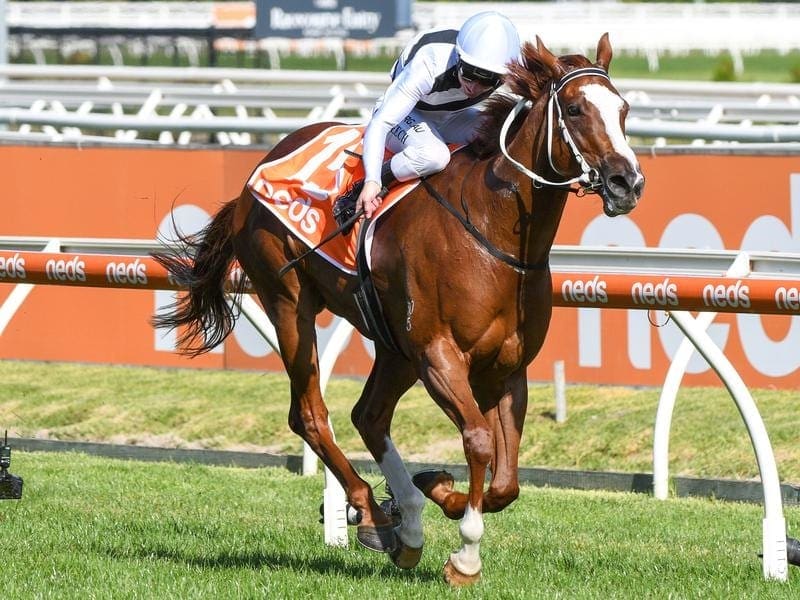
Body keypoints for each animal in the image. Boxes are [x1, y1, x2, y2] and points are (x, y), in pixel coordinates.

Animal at [155, 35, 644, 584]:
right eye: (577, 109)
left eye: (623, 109)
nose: (626, 182)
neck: (492, 231)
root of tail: (258, 173)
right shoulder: (439, 356)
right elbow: (478, 440)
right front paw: (465, 554)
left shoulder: (507, 368)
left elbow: (506, 480)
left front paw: (439, 492)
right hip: (289, 303)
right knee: (311, 413)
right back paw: (371, 511)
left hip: (394, 346)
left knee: (369, 415)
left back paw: (405, 518)